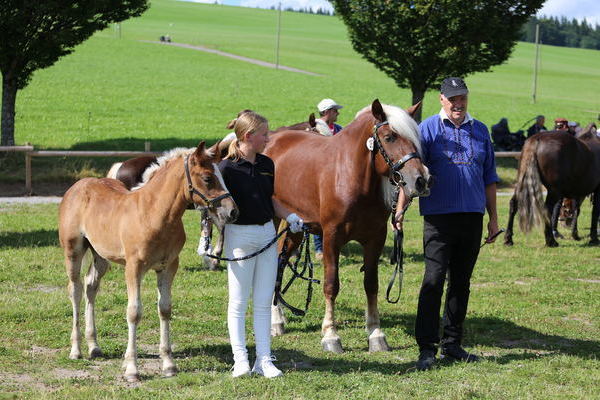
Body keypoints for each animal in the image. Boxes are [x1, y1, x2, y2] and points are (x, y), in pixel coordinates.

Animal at [58, 143, 237, 382]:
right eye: (208, 178)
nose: (233, 211)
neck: (154, 214)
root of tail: (79, 185)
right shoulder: (134, 268)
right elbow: (134, 312)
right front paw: (132, 369)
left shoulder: (168, 266)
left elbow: (165, 309)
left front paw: (169, 365)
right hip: (73, 252)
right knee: (75, 290)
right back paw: (76, 349)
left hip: (101, 256)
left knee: (90, 287)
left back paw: (94, 346)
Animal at [268, 100, 432, 354]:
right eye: (389, 137)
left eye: (415, 138)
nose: (421, 179)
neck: (351, 177)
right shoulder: (331, 238)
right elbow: (331, 285)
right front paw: (331, 335)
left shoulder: (375, 238)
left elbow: (371, 284)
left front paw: (376, 334)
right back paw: (275, 321)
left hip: (296, 226)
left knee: (282, 261)